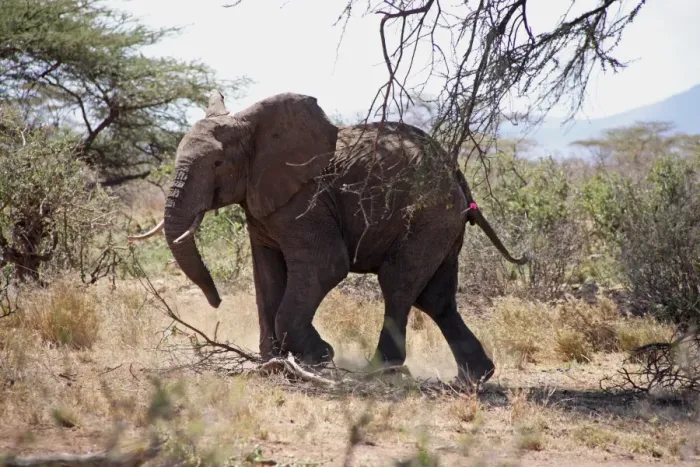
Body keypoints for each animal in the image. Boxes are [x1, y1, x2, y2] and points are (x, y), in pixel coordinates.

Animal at [128, 91, 528, 384]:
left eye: (216, 164)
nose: (216, 303)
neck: (253, 126)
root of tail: (457, 174)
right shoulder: (263, 203)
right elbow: (266, 275)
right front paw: (272, 362)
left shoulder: (306, 198)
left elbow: (326, 265)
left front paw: (317, 357)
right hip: (442, 224)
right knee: (435, 297)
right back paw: (474, 378)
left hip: (428, 216)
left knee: (399, 284)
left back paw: (379, 369)